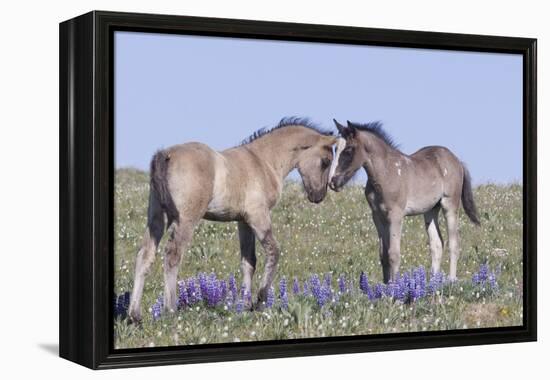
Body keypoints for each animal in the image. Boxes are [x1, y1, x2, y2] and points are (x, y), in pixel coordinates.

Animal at [330, 120, 480, 284]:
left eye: (349, 150)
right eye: (335, 149)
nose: (332, 182)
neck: (386, 172)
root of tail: (456, 160)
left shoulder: (395, 215)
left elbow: (394, 254)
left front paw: (395, 286)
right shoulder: (378, 216)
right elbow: (383, 254)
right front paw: (386, 285)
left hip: (450, 205)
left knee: (454, 243)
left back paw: (451, 280)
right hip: (431, 210)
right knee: (437, 244)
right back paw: (433, 283)